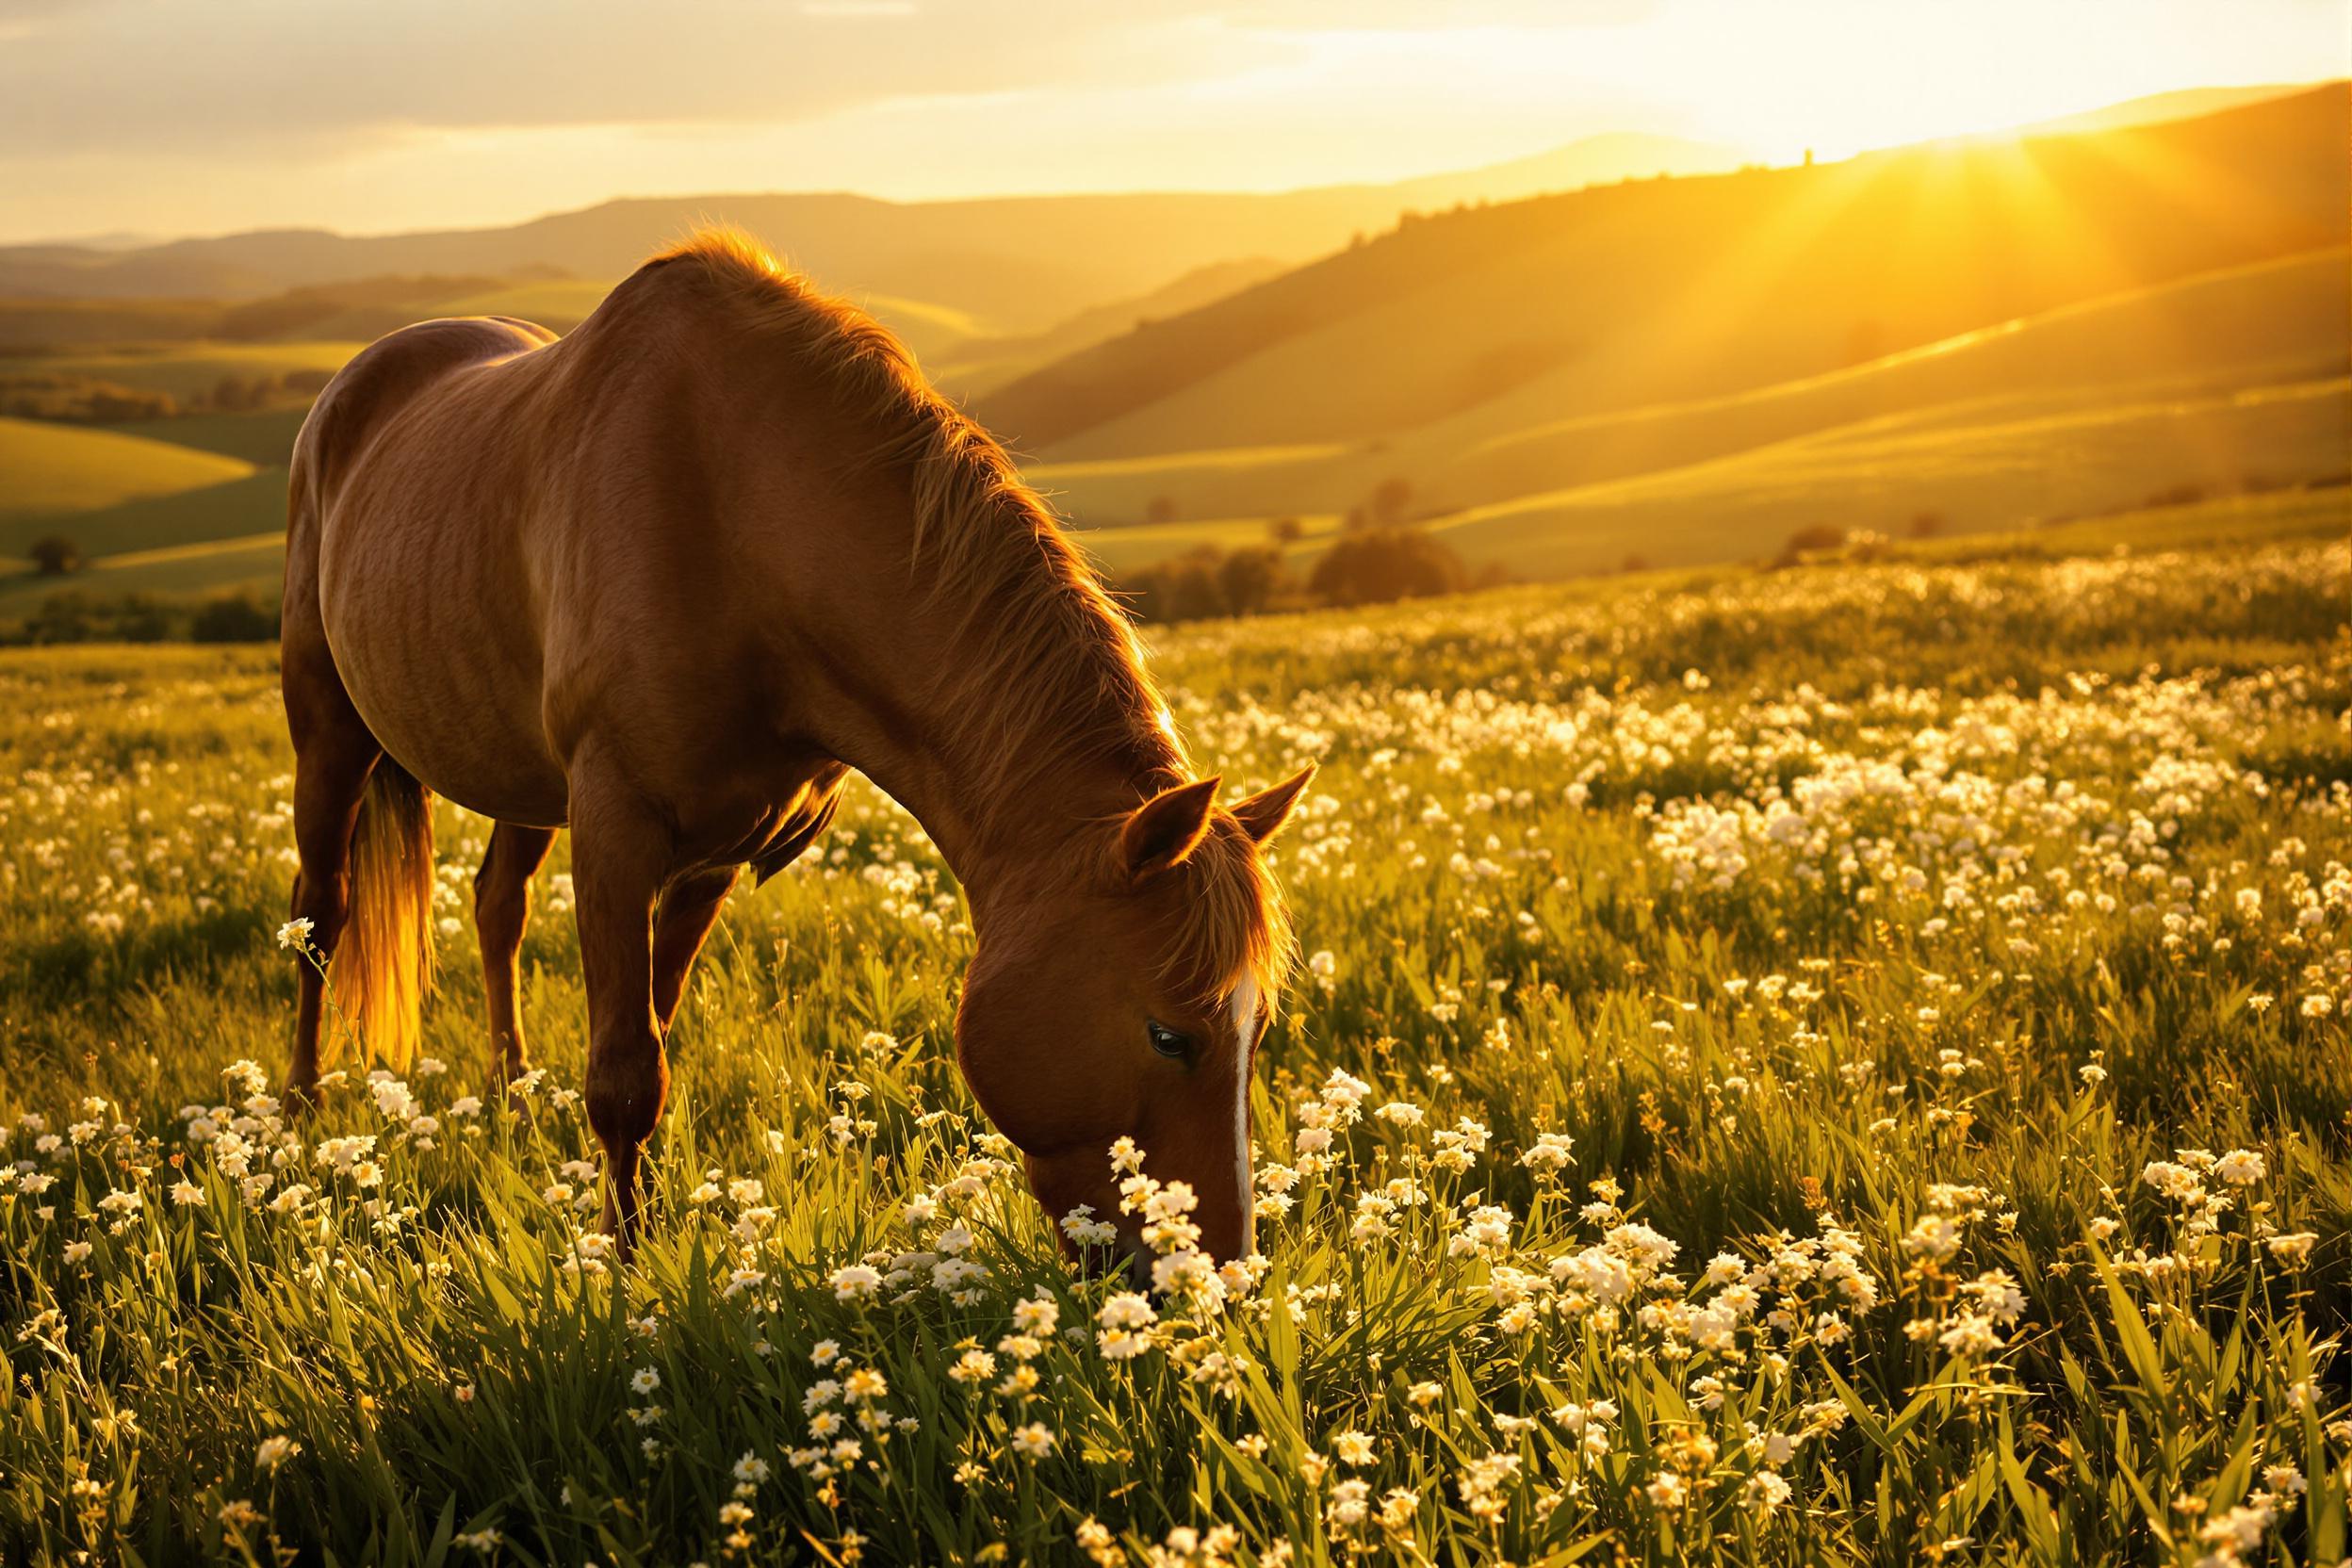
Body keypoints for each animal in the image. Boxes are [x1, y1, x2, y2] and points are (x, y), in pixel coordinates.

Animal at [285, 230, 1316, 1260]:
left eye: (1257, 1028)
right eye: (1171, 1034)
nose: (1221, 1269)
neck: (735, 516)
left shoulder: (714, 849)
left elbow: (653, 1039)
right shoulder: (616, 822)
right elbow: (624, 1076)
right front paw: (625, 1269)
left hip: (522, 777)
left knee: (497, 906)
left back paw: (510, 1094)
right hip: (328, 733)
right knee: (320, 917)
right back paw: (299, 1114)